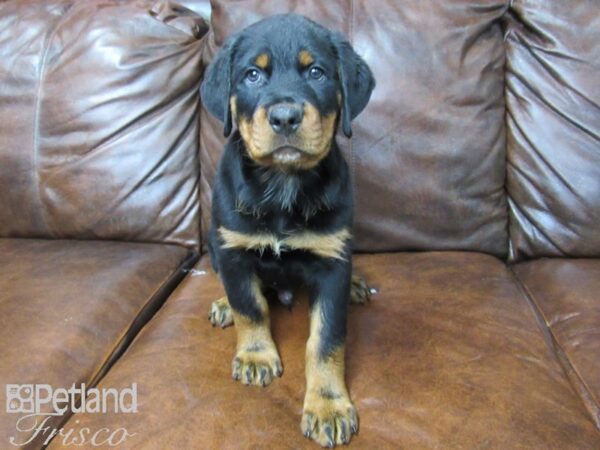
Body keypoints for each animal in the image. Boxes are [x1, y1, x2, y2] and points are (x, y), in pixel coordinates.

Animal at [202, 14, 376, 446]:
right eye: (252, 75)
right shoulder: (233, 250)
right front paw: (255, 355)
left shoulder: (331, 262)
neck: (284, 185)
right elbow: (250, 307)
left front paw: (328, 405)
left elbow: (327, 340)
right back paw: (223, 303)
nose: (284, 117)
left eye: (316, 72)